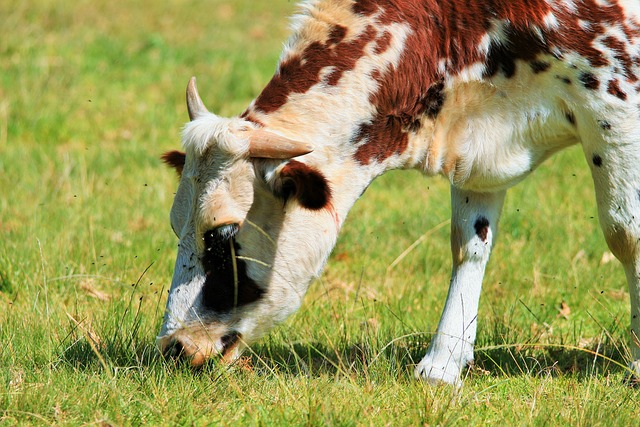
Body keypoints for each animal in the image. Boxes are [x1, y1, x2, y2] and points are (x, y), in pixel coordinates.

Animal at [158, 0, 640, 386]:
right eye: (176, 225)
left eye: (221, 234)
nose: (173, 346)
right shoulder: (480, 146)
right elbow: (469, 244)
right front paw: (442, 364)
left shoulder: (616, 106)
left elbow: (626, 234)